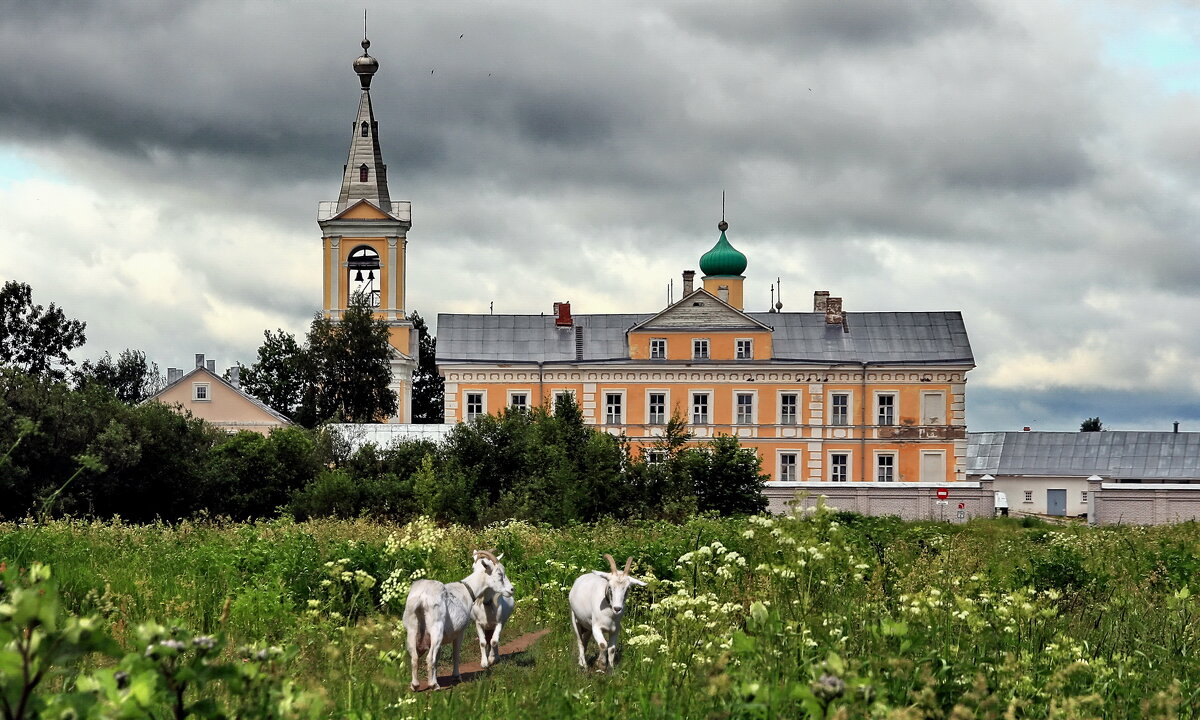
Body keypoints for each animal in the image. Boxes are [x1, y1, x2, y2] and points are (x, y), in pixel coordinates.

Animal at [405, 549, 513, 691]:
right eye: (500, 573)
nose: (511, 590)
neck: (467, 590)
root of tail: (422, 598)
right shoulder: (460, 631)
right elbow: (456, 654)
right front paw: (456, 676)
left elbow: (438, 657)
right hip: (436, 629)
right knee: (429, 658)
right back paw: (434, 685)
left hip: (412, 629)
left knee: (414, 657)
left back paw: (415, 685)